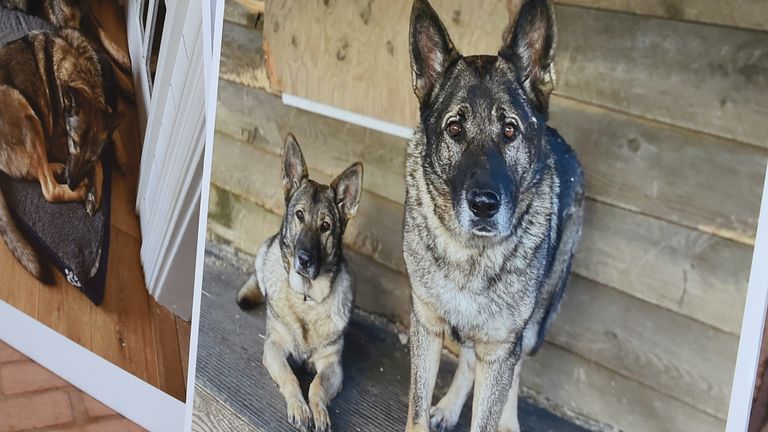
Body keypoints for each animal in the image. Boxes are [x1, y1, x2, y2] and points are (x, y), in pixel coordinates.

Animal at [0, 30, 122, 280]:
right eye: (73, 142)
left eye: (88, 156)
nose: (73, 182)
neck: (83, 76)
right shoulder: (57, 139)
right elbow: (100, 166)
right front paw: (92, 191)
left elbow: (104, 146)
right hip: (23, 109)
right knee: (49, 189)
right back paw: (77, 187)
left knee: (35, 173)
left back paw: (60, 171)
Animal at [236, 134, 364, 432]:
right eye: (299, 215)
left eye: (326, 226)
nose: (304, 260)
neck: (307, 297)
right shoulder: (273, 348)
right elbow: (291, 377)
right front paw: (299, 407)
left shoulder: (331, 365)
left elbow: (316, 386)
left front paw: (318, 411)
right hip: (264, 252)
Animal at [404, 0, 584, 430]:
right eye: (454, 128)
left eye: (510, 130)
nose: (484, 205)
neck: (469, 253)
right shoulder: (425, 325)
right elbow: (416, 412)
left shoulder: (504, 344)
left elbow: (497, 395)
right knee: (471, 360)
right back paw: (449, 407)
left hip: (531, 327)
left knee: (514, 374)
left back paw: (509, 422)